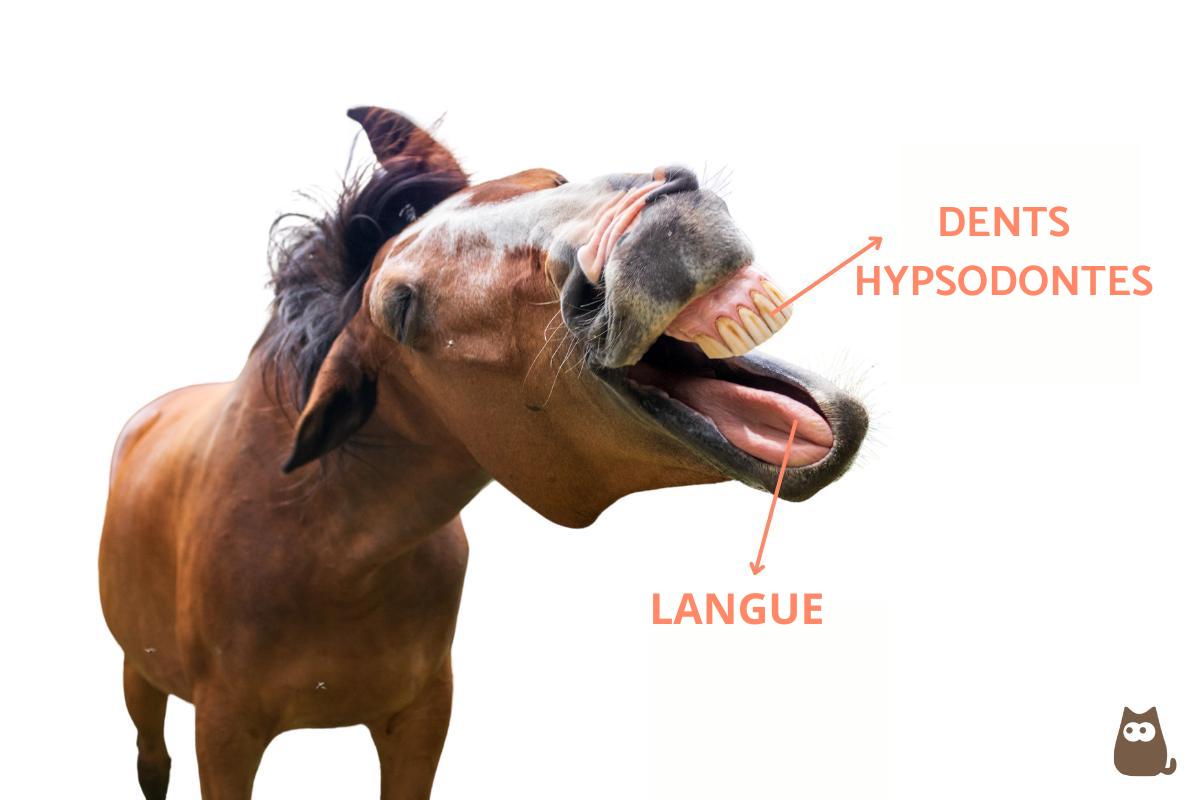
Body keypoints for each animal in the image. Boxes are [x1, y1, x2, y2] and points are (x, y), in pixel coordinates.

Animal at [99, 106, 868, 799]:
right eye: (402, 308)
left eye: (546, 178)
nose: (656, 228)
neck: (320, 546)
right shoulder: (225, 732)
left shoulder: (420, 718)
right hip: (141, 671)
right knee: (150, 754)